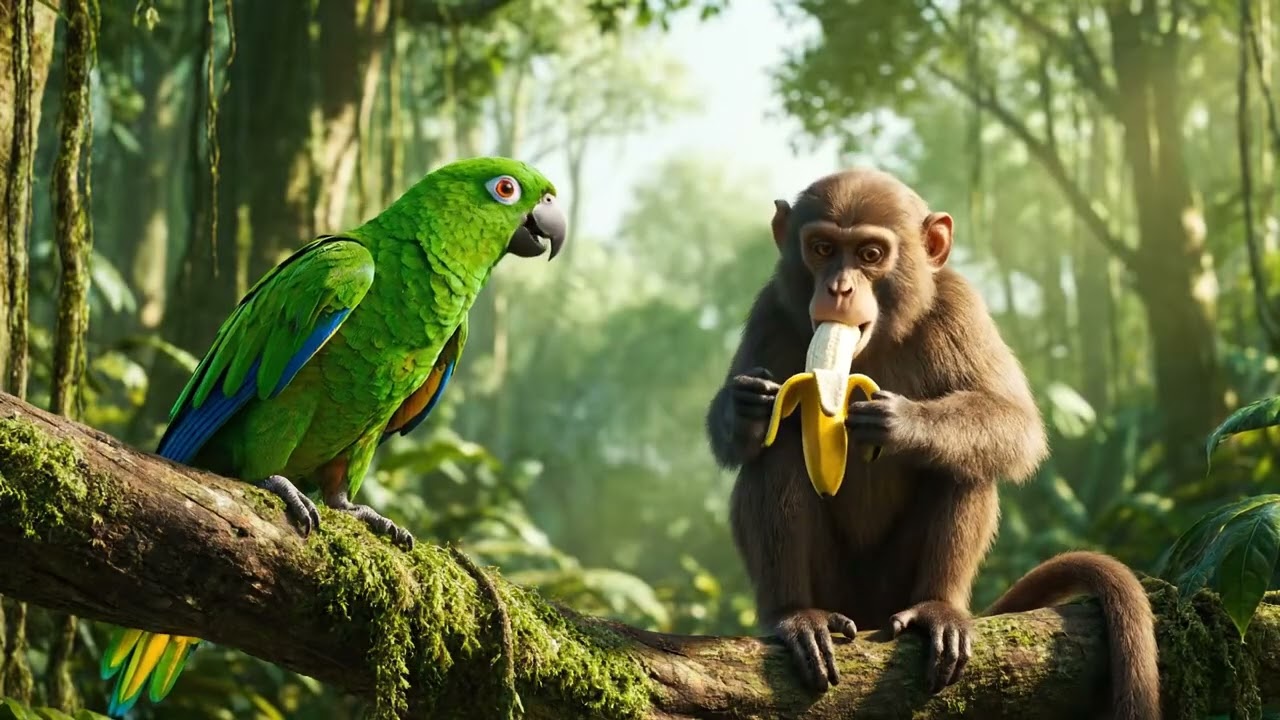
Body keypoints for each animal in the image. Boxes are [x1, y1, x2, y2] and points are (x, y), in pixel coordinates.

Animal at [705, 168, 1159, 720]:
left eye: (870, 254)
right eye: (821, 248)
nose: (838, 288)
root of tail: (871, 614)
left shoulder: (960, 304)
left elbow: (1016, 425)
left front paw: (901, 423)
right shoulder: (770, 308)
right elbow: (743, 445)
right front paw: (746, 408)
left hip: (895, 586)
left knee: (966, 465)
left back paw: (936, 609)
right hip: (839, 588)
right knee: (779, 452)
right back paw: (795, 615)